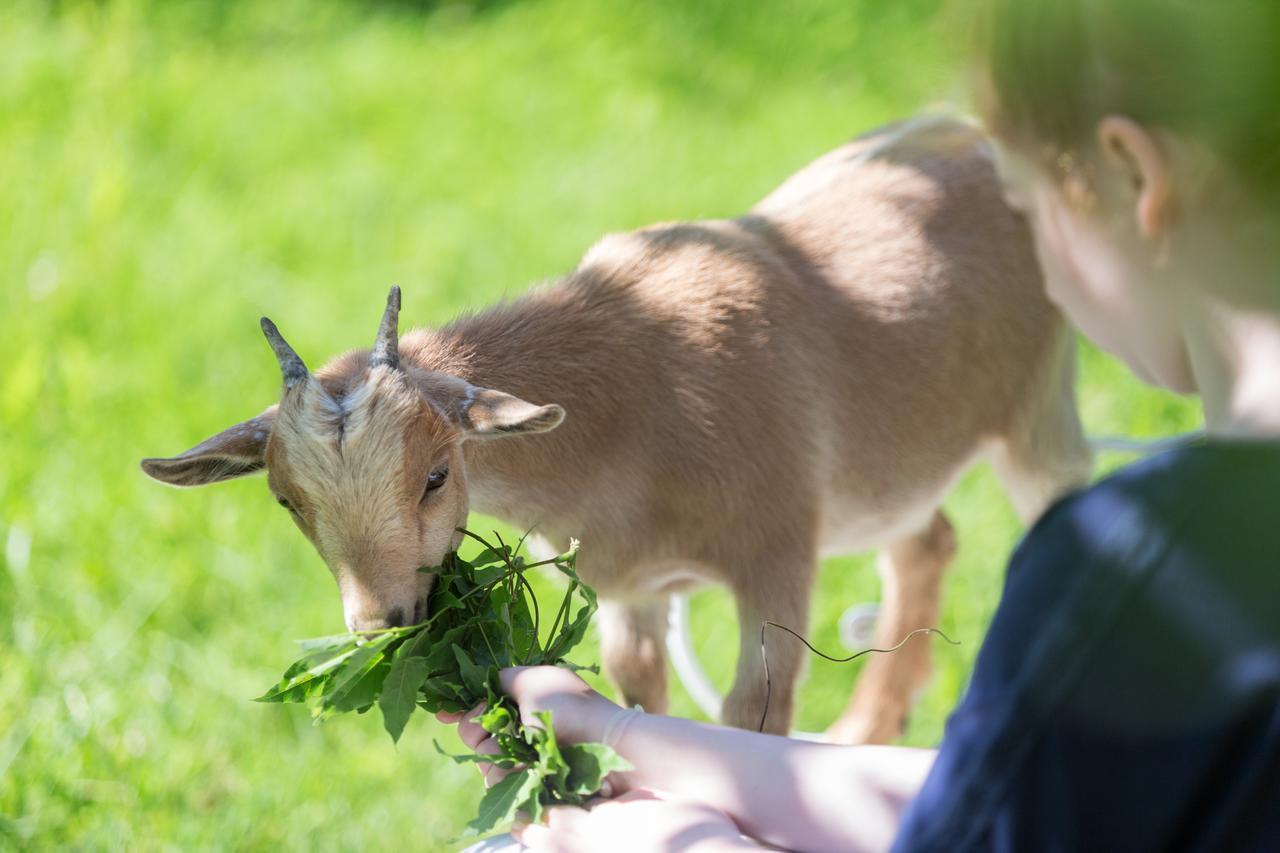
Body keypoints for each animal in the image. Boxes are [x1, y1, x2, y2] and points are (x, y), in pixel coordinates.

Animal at [145, 116, 1095, 742]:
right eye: (286, 501)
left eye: (435, 475)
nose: (384, 622)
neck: (642, 389)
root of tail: (973, 131)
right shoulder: (632, 592)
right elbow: (642, 701)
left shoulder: (777, 558)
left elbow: (752, 717)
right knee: (926, 541)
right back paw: (866, 730)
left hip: (1041, 409)